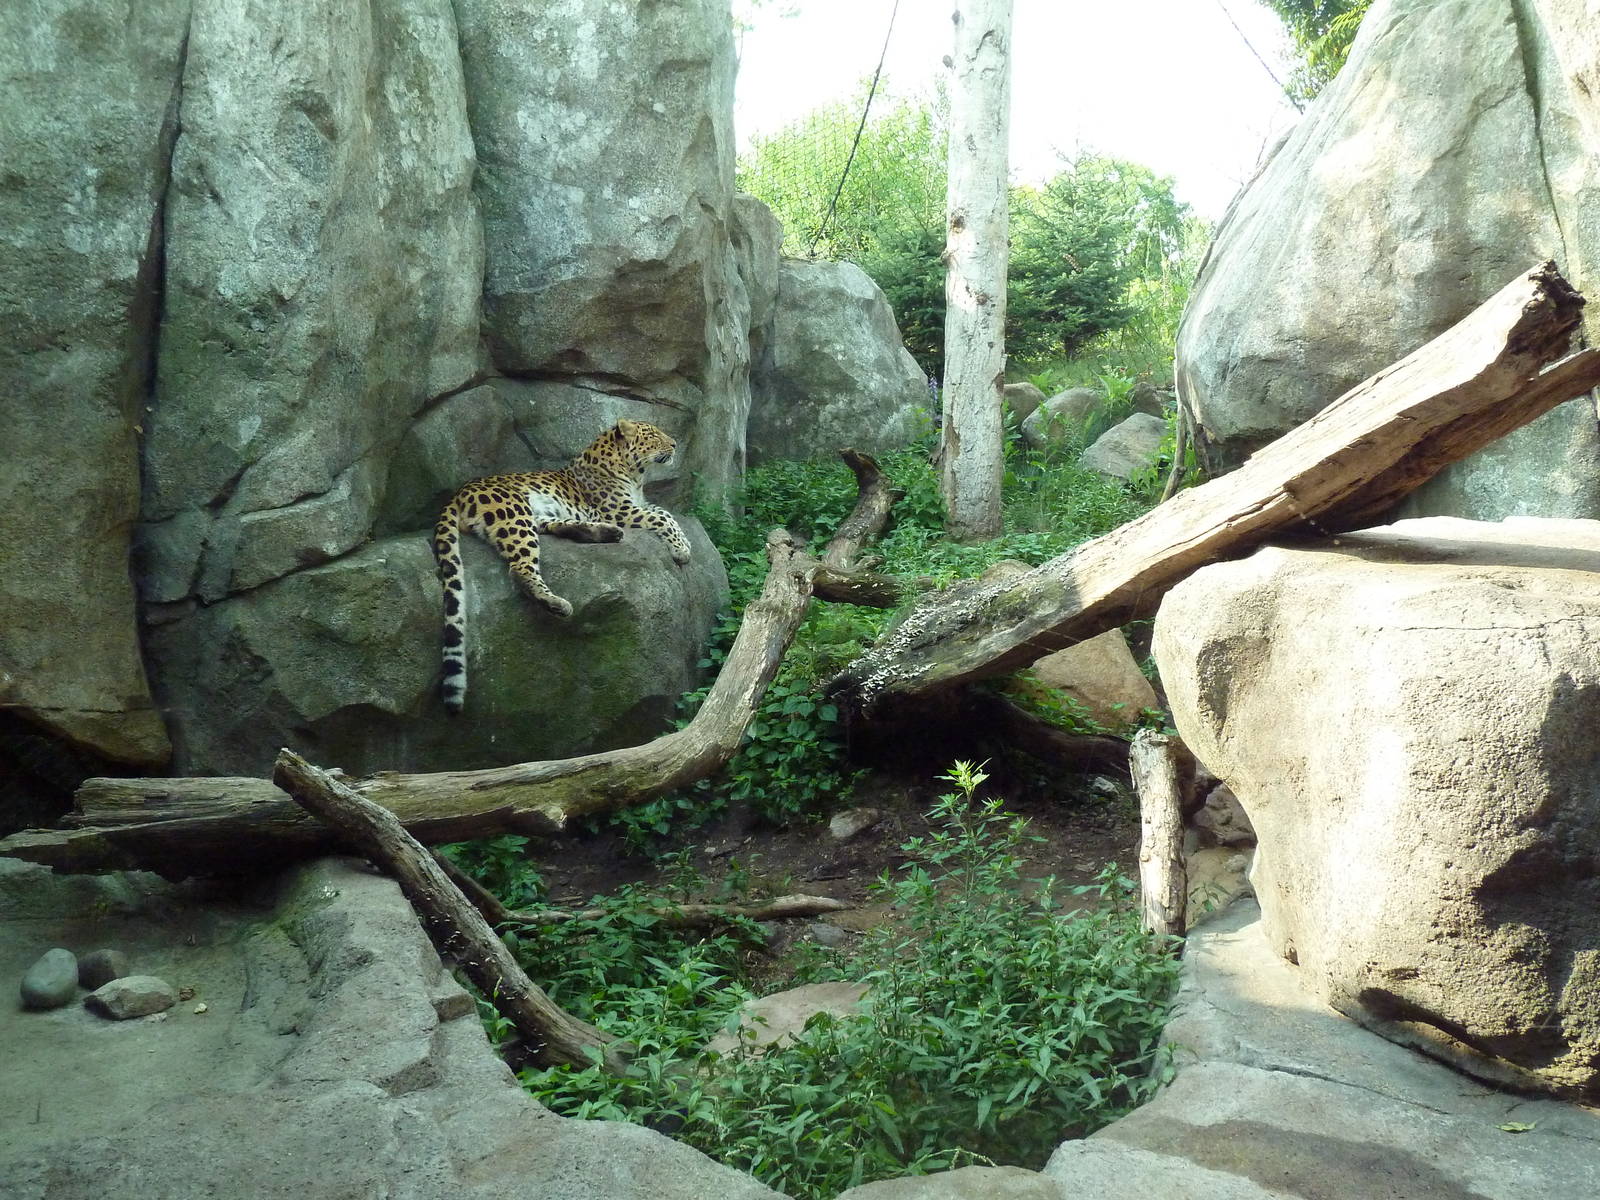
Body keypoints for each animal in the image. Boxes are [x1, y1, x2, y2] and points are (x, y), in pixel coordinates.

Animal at [431, 418, 691, 714]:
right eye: (653, 436)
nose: (674, 444)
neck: (635, 475)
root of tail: (458, 493)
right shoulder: (621, 511)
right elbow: (663, 517)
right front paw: (682, 550)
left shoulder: (637, 505)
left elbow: (664, 512)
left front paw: (682, 543)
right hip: (514, 514)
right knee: (520, 569)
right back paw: (557, 603)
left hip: (537, 516)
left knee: (557, 528)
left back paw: (604, 533)